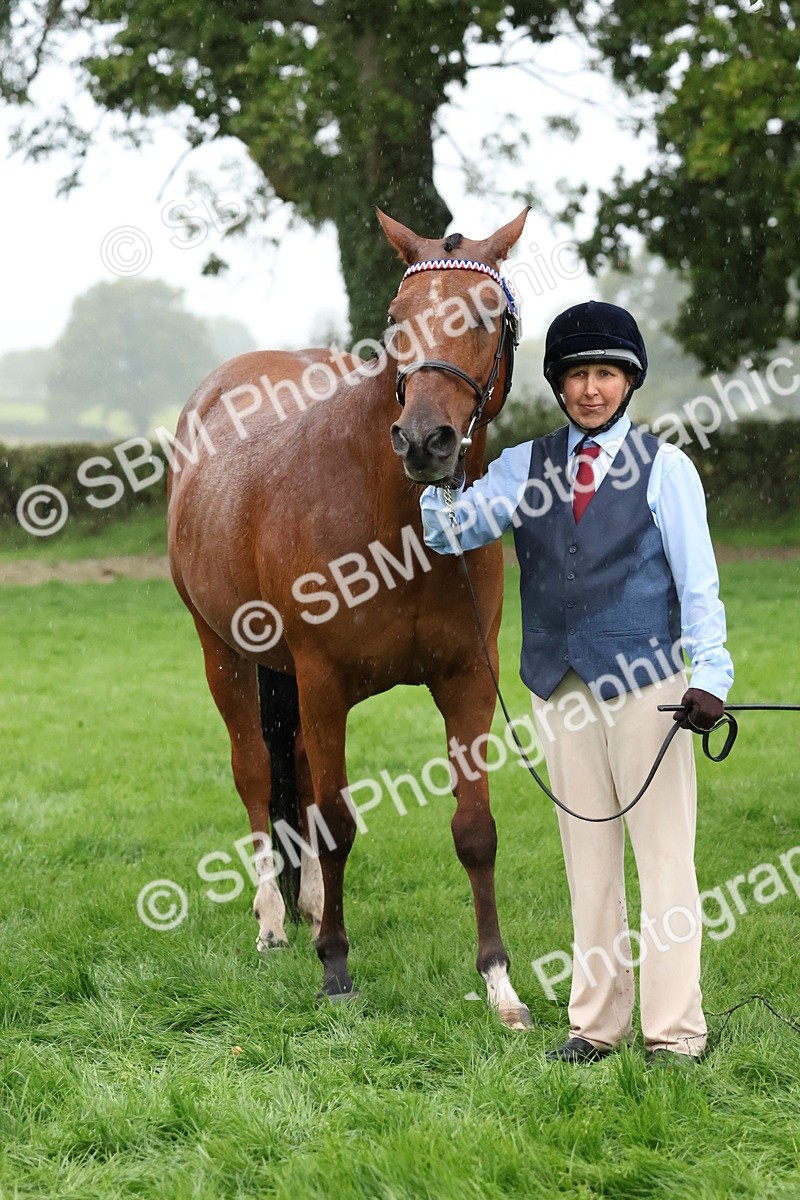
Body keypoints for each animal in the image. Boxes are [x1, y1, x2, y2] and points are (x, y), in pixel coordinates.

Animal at [167, 207, 533, 1029]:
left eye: (487, 316)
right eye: (396, 318)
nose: (425, 439)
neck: (392, 515)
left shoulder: (468, 681)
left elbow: (476, 831)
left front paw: (500, 984)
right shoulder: (325, 680)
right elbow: (334, 822)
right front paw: (335, 968)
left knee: (295, 770)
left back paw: (306, 907)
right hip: (223, 654)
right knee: (254, 772)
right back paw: (276, 921)